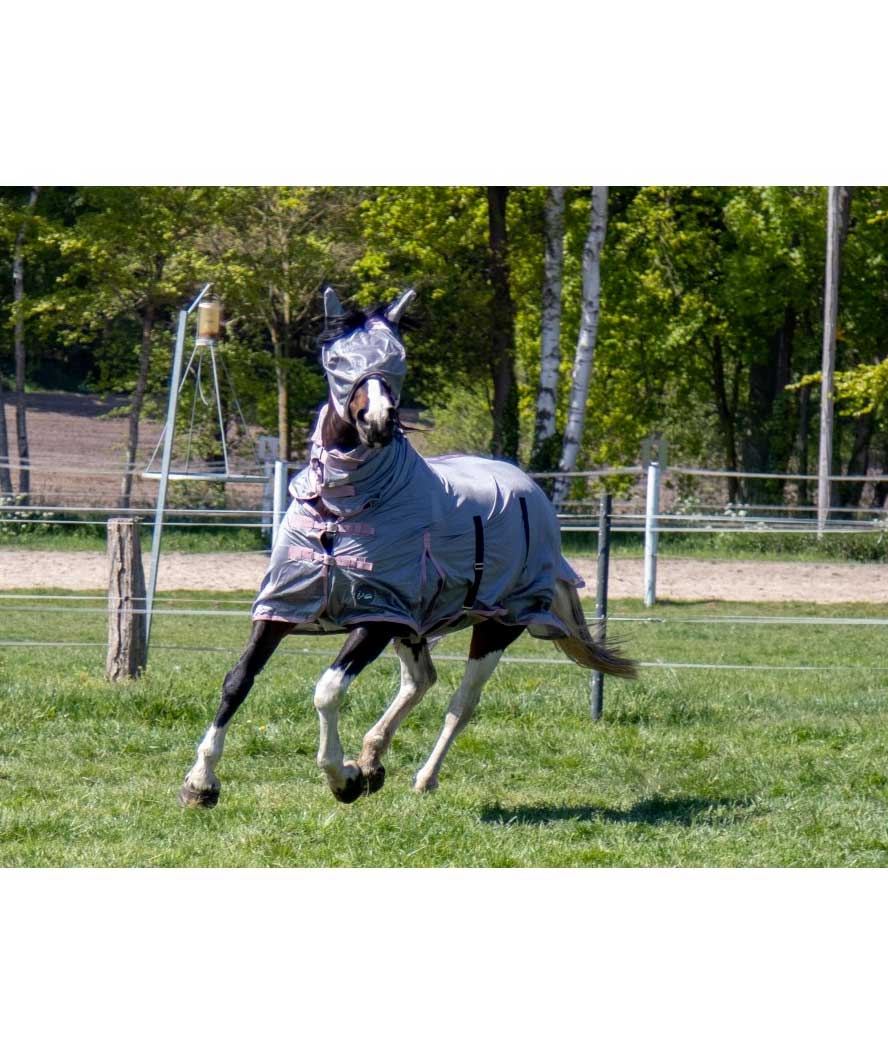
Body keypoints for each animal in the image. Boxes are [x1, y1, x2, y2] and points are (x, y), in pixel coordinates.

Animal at [176, 284, 636, 808]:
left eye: (398, 357)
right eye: (336, 359)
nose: (376, 420)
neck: (340, 513)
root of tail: (531, 490)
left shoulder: (377, 617)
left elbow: (327, 691)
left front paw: (342, 778)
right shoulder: (283, 607)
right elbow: (237, 680)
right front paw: (200, 782)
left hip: (498, 625)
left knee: (461, 703)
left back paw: (421, 777)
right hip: (416, 626)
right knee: (420, 681)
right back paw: (374, 758)